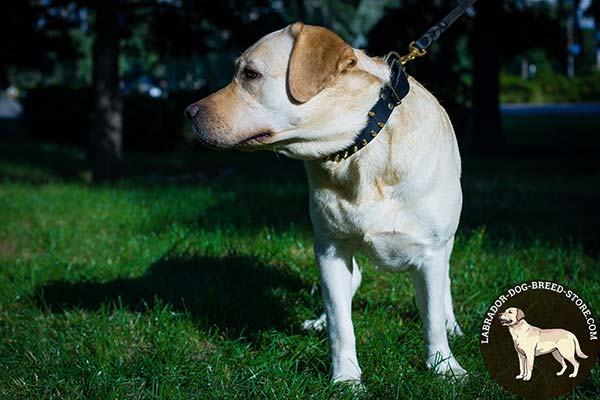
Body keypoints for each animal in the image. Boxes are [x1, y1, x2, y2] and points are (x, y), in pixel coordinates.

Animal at [185, 21, 466, 382]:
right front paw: (346, 378)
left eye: (250, 74)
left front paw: (444, 366)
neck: (360, 150)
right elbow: (340, 323)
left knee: (444, 285)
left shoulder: (430, 251)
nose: (188, 112)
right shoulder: (330, 249)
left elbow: (432, 319)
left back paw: (452, 325)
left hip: (446, 242)